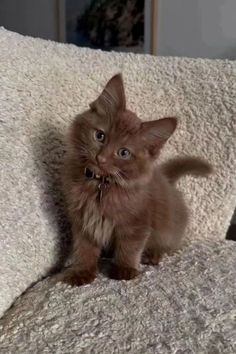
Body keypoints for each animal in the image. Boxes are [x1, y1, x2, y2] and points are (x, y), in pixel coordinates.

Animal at [58, 73, 213, 286]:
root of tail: (167, 180)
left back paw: (152, 255)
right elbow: (84, 249)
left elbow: (129, 248)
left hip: (168, 230)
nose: (101, 158)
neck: (101, 184)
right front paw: (82, 272)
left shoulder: (136, 224)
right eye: (100, 135)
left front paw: (124, 270)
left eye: (123, 153)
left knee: (168, 245)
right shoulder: (83, 221)